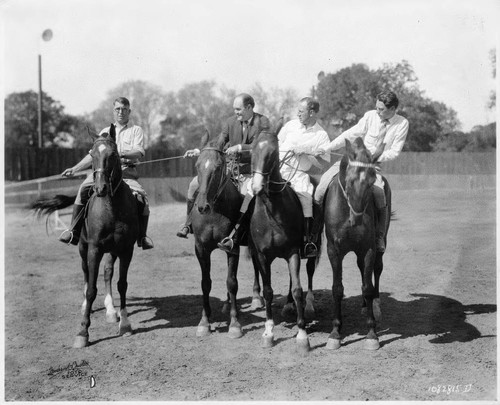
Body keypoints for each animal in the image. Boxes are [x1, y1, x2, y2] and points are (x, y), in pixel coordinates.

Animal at [31, 124, 139, 348]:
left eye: (114, 154)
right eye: (91, 154)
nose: (100, 188)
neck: (111, 208)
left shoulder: (126, 249)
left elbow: (122, 284)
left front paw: (124, 324)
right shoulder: (94, 249)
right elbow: (91, 289)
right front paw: (82, 332)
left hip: (112, 251)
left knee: (107, 273)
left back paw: (111, 311)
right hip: (82, 248)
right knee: (85, 274)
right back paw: (87, 305)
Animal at [189, 137, 264, 336]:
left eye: (217, 167)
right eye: (197, 165)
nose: (202, 206)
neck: (214, 212)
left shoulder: (233, 247)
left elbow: (232, 283)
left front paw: (235, 324)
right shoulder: (201, 249)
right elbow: (205, 283)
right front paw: (204, 322)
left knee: (256, 266)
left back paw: (256, 297)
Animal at [247, 129, 320, 350]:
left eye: (272, 153)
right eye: (252, 151)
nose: (257, 186)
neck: (272, 212)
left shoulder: (293, 252)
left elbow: (298, 289)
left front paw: (302, 335)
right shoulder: (262, 256)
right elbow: (268, 291)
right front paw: (268, 332)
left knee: (309, 272)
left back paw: (309, 304)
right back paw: (288, 305)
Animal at [322, 137, 392, 350]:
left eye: (371, 183)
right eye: (349, 181)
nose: (358, 220)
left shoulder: (368, 248)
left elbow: (368, 288)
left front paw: (372, 333)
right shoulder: (334, 251)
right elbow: (337, 289)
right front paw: (335, 333)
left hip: (378, 246)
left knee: (376, 270)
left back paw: (374, 306)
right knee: (362, 270)